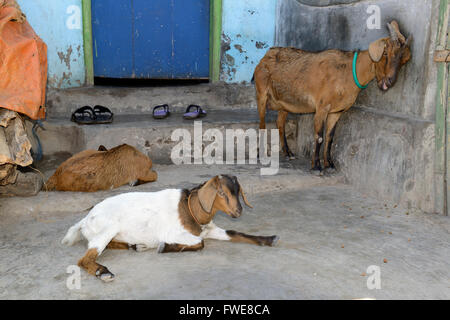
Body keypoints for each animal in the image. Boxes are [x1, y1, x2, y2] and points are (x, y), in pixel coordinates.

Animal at [61, 174, 280, 282]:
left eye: (237, 190)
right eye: (221, 192)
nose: (238, 211)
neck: (191, 209)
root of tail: (85, 220)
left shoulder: (210, 229)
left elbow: (234, 233)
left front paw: (269, 239)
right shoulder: (174, 232)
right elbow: (200, 243)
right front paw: (165, 247)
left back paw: (136, 246)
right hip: (108, 228)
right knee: (85, 258)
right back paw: (103, 272)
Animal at [253, 20, 412, 171]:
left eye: (403, 61)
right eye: (385, 53)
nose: (389, 81)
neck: (349, 72)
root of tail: (265, 57)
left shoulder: (336, 112)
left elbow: (330, 138)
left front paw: (329, 165)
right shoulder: (322, 107)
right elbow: (319, 136)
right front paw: (316, 166)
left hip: (285, 103)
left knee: (280, 122)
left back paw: (288, 153)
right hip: (261, 93)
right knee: (262, 124)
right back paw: (261, 154)